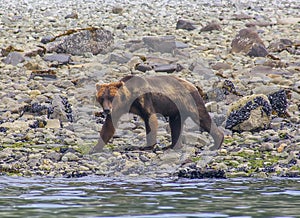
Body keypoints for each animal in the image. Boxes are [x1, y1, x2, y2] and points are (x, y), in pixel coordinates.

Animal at [90, 75, 224, 153]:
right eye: (101, 98)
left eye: (111, 97)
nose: (106, 110)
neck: (128, 100)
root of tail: (192, 85)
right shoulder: (118, 109)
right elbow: (108, 127)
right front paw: (95, 147)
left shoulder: (144, 99)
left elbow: (150, 120)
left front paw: (147, 146)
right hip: (176, 109)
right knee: (175, 124)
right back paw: (172, 146)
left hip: (189, 101)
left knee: (201, 117)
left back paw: (217, 142)